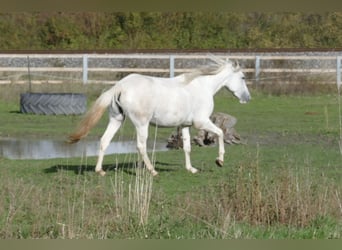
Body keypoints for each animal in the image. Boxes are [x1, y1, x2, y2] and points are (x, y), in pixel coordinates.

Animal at [69, 58, 251, 176]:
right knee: (141, 146)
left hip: (116, 119)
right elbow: (219, 133)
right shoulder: (201, 123)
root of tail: (120, 86)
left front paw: (191, 169)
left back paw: (100, 171)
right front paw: (219, 161)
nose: (247, 98)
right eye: (242, 77)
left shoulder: (185, 125)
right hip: (141, 124)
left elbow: (187, 147)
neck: (202, 86)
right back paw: (152, 171)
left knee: (104, 141)